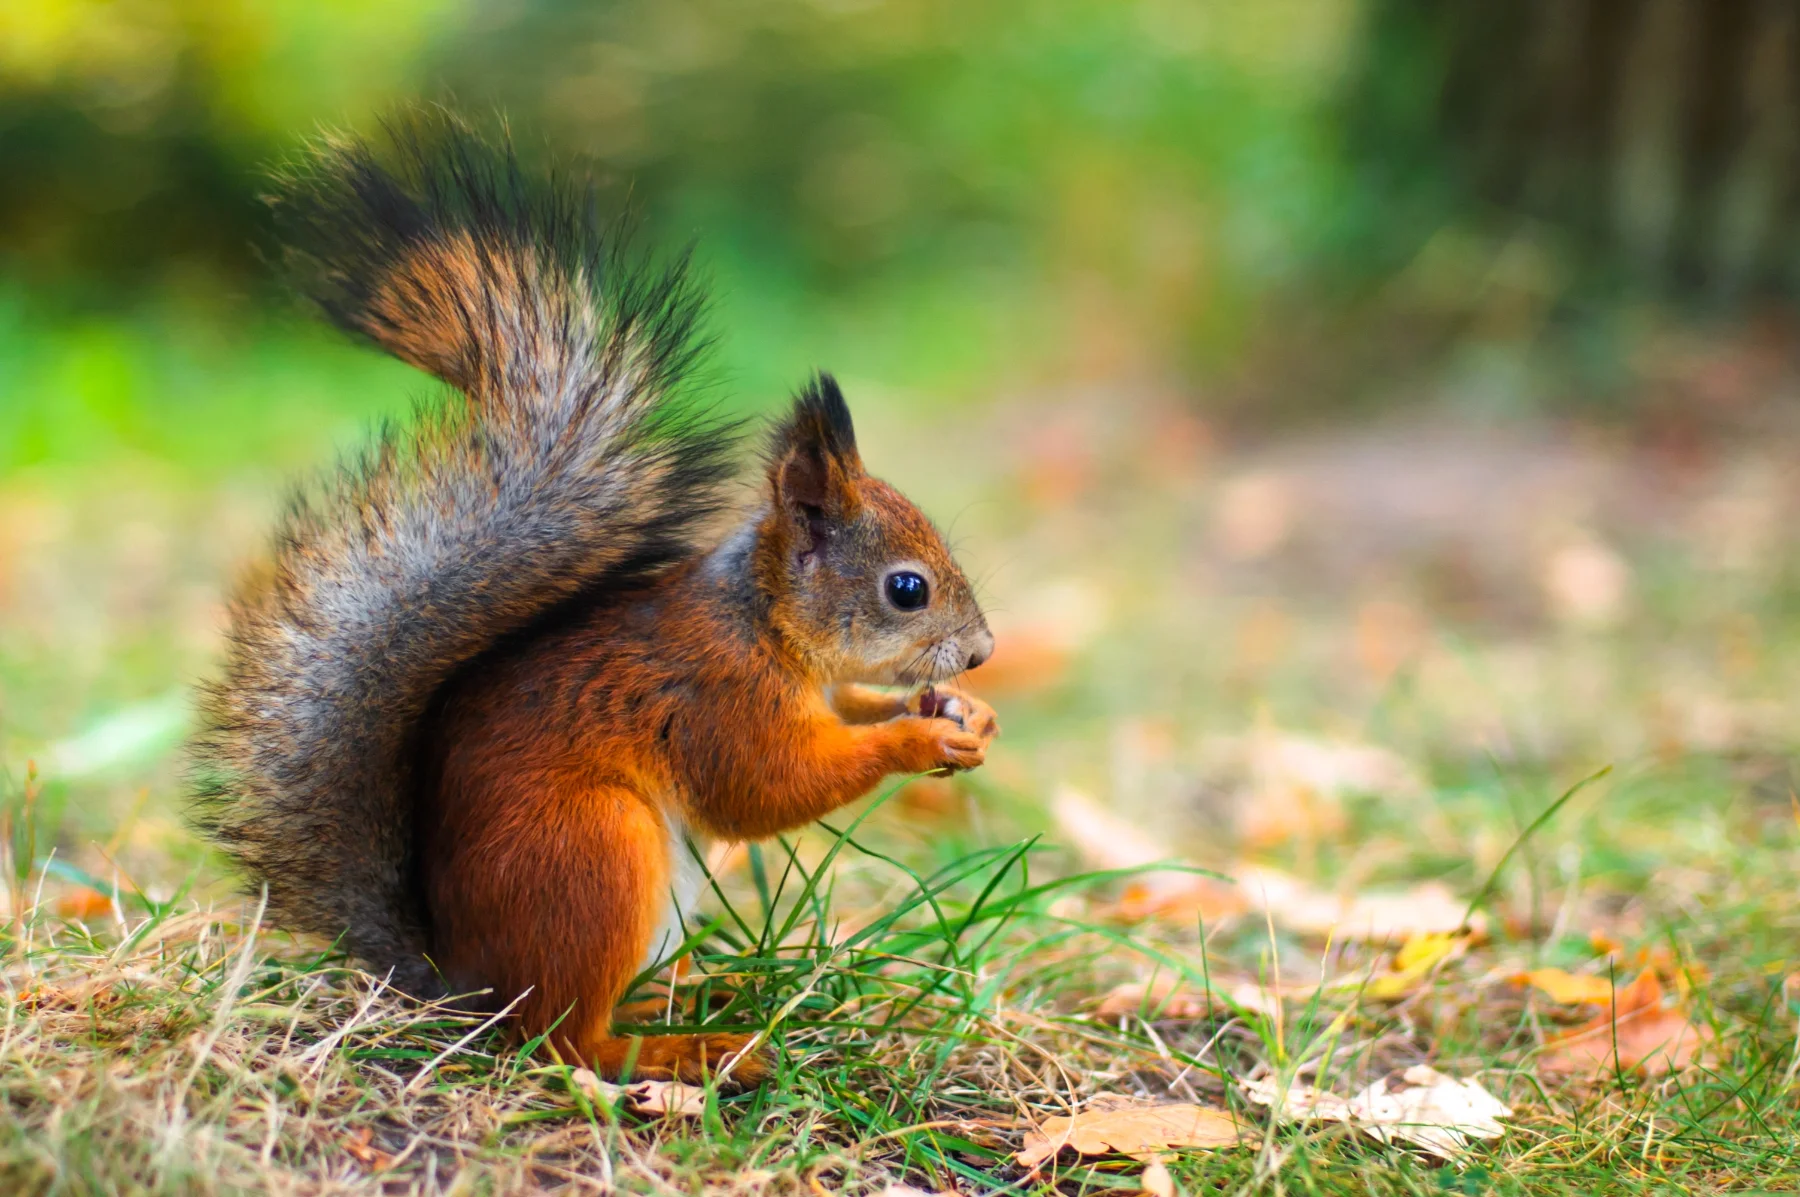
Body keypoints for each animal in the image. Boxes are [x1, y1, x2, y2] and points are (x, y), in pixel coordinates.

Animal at [188, 112, 999, 1086]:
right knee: (566, 1037)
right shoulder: (718, 696)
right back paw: (684, 1046)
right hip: (597, 850)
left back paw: (682, 996)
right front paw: (916, 738)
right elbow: (765, 791)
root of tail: (461, 981)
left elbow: (845, 710)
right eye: (907, 589)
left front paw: (964, 716)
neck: (762, 622)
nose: (984, 652)